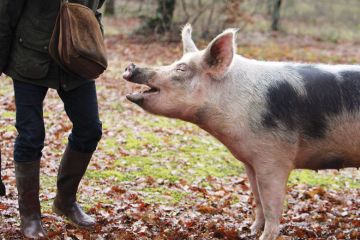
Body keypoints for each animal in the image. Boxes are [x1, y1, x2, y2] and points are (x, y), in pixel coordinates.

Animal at [123, 23, 360, 240]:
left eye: (181, 68)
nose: (131, 66)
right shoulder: (250, 161)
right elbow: (257, 198)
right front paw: (250, 230)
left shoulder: (274, 159)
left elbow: (272, 206)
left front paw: (265, 237)